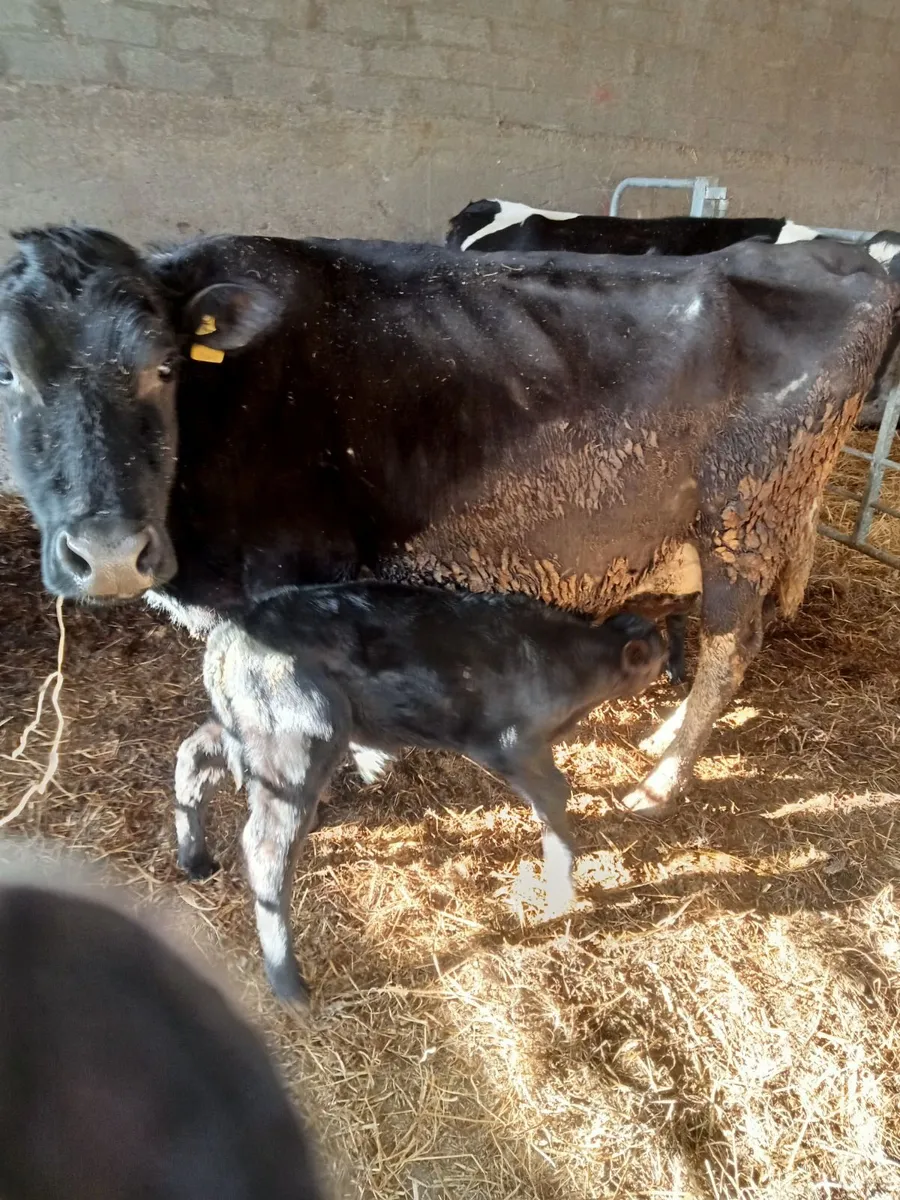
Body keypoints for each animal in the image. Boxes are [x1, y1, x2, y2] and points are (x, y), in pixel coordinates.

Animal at [0, 225, 895, 823]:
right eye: (7, 371)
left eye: (163, 367)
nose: (109, 554)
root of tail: (843, 259)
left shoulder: (285, 577)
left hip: (745, 514)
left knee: (732, 644)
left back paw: (658, 782)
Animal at [175, 583, 666, 1003]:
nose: (673, 666)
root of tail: (231, 632)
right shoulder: (517, 748)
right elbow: (555, 800)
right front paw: (562, 897)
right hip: (296, 743)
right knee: (266, 846)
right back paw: (289, 986)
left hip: (242, 731)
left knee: (193, 758)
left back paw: (194, 859)